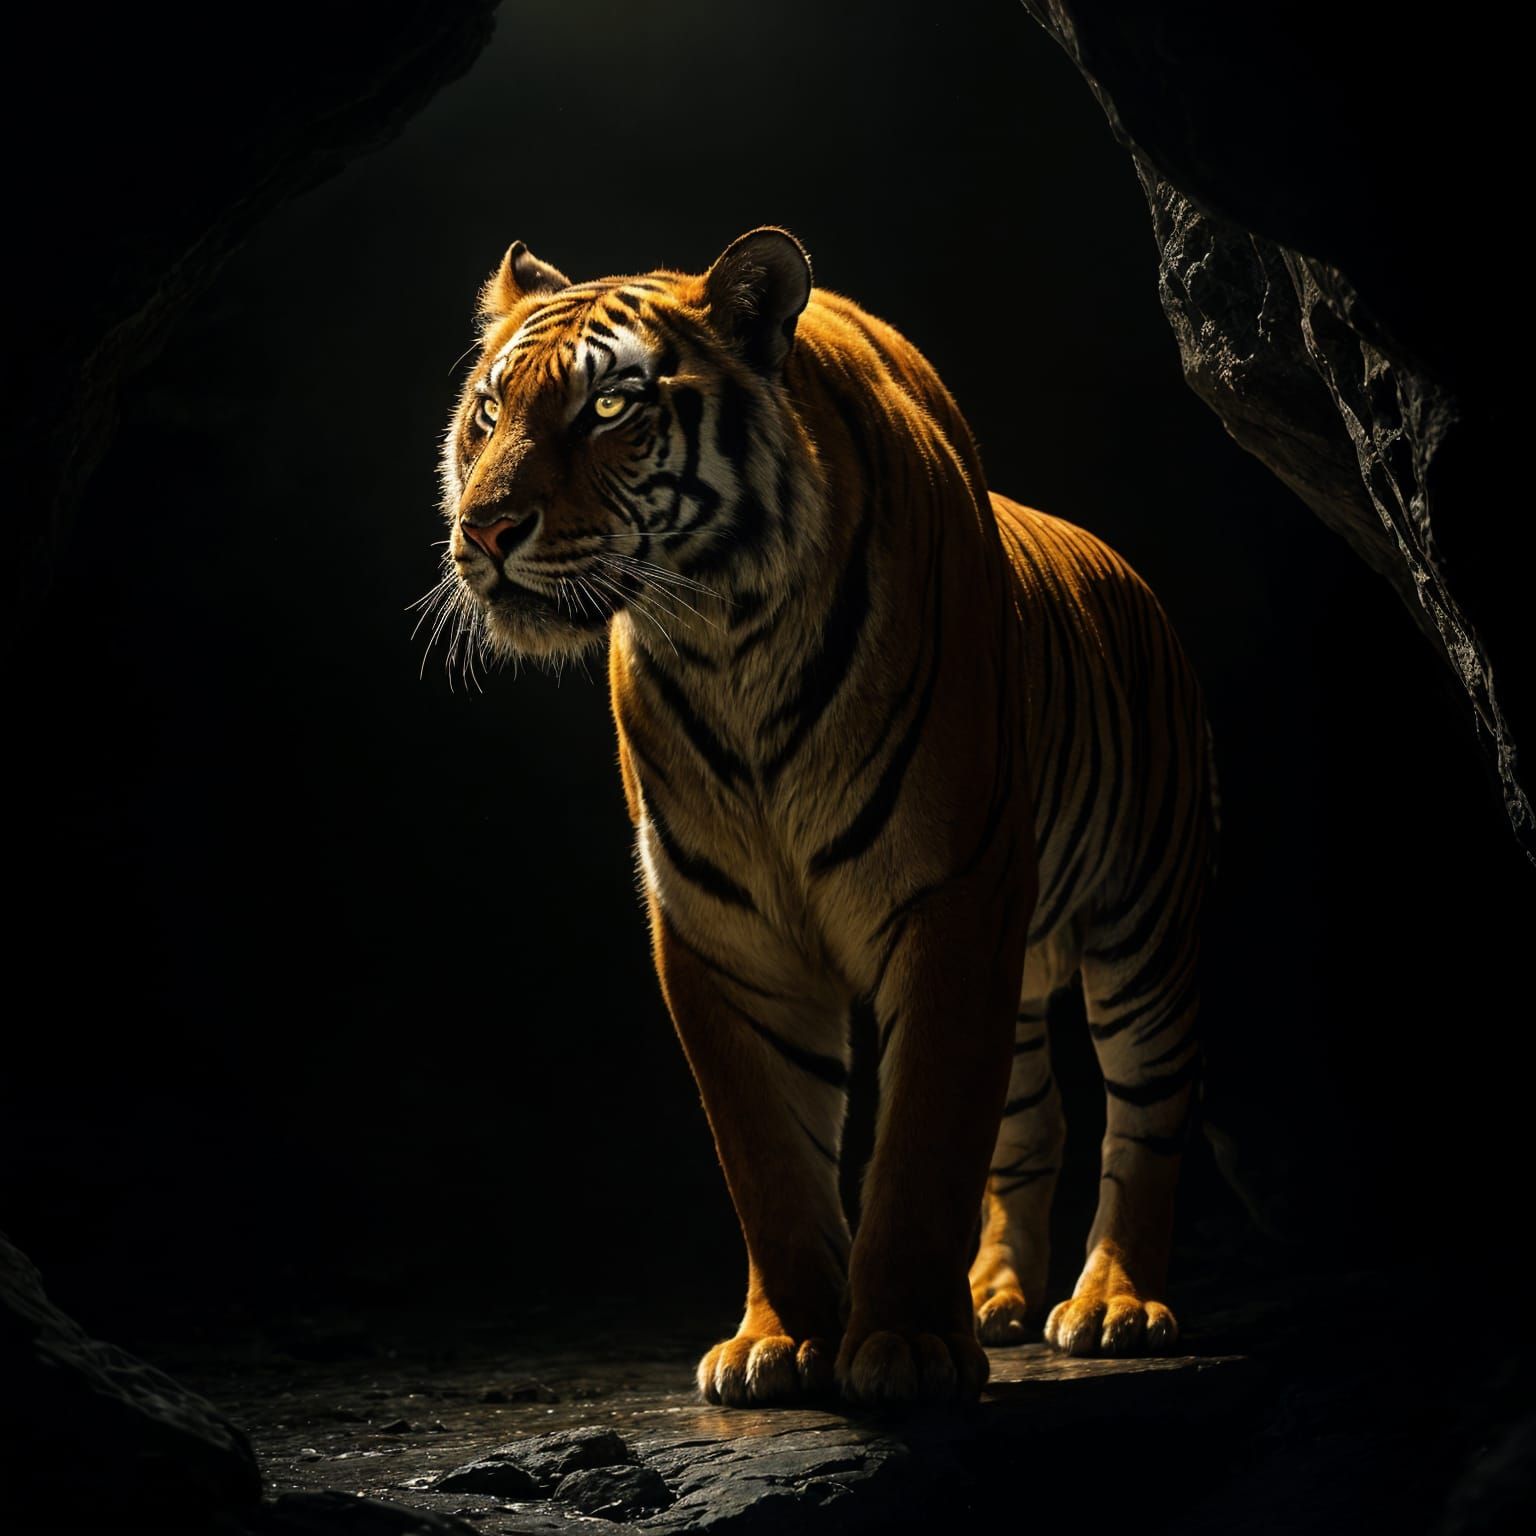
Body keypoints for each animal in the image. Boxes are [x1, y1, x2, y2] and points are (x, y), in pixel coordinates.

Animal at [434, 227, 1215, 1408]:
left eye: (608, 408)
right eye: (488, 410)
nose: (482, 528)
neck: (724, 636)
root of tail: (1133, 579)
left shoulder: (951, 896)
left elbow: (922, 1140)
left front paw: (904, 1343)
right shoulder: (723, 928)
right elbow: (768, 1154)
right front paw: (784, 1340)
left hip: (1142, 932)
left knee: (1146, 1118)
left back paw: (1113, 1305)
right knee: (1035, 1118)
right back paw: (997, 1297)